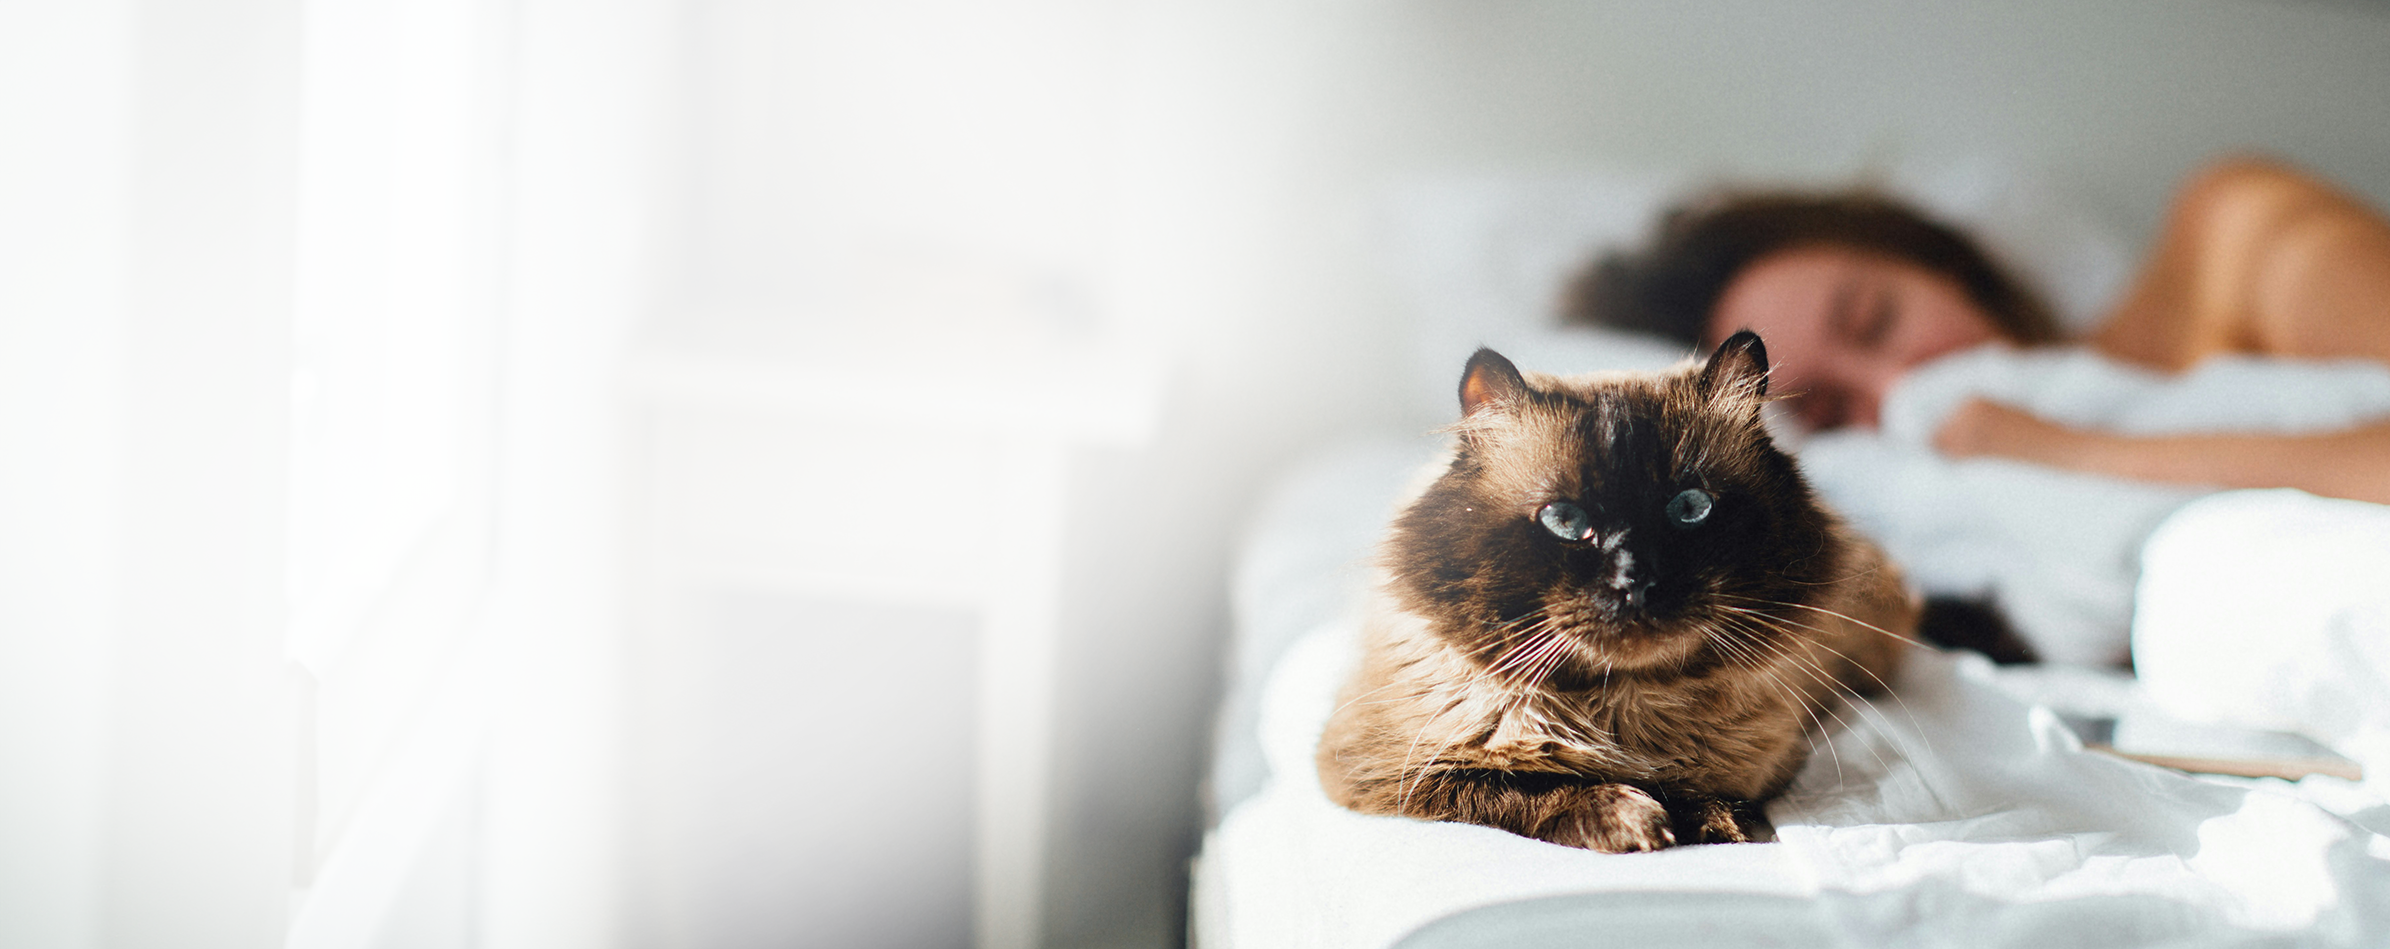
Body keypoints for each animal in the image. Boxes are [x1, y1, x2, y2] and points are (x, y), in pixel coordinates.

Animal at [1319, 332, 1912, 850]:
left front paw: (1714, 825)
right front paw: (1636, 821)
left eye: (1690, 509)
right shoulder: (1400, 774)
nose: (1636, 581)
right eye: (1565, 520)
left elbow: (1701, 791)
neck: (1621, 708)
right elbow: (1535, 789)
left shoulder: (1762, 763)